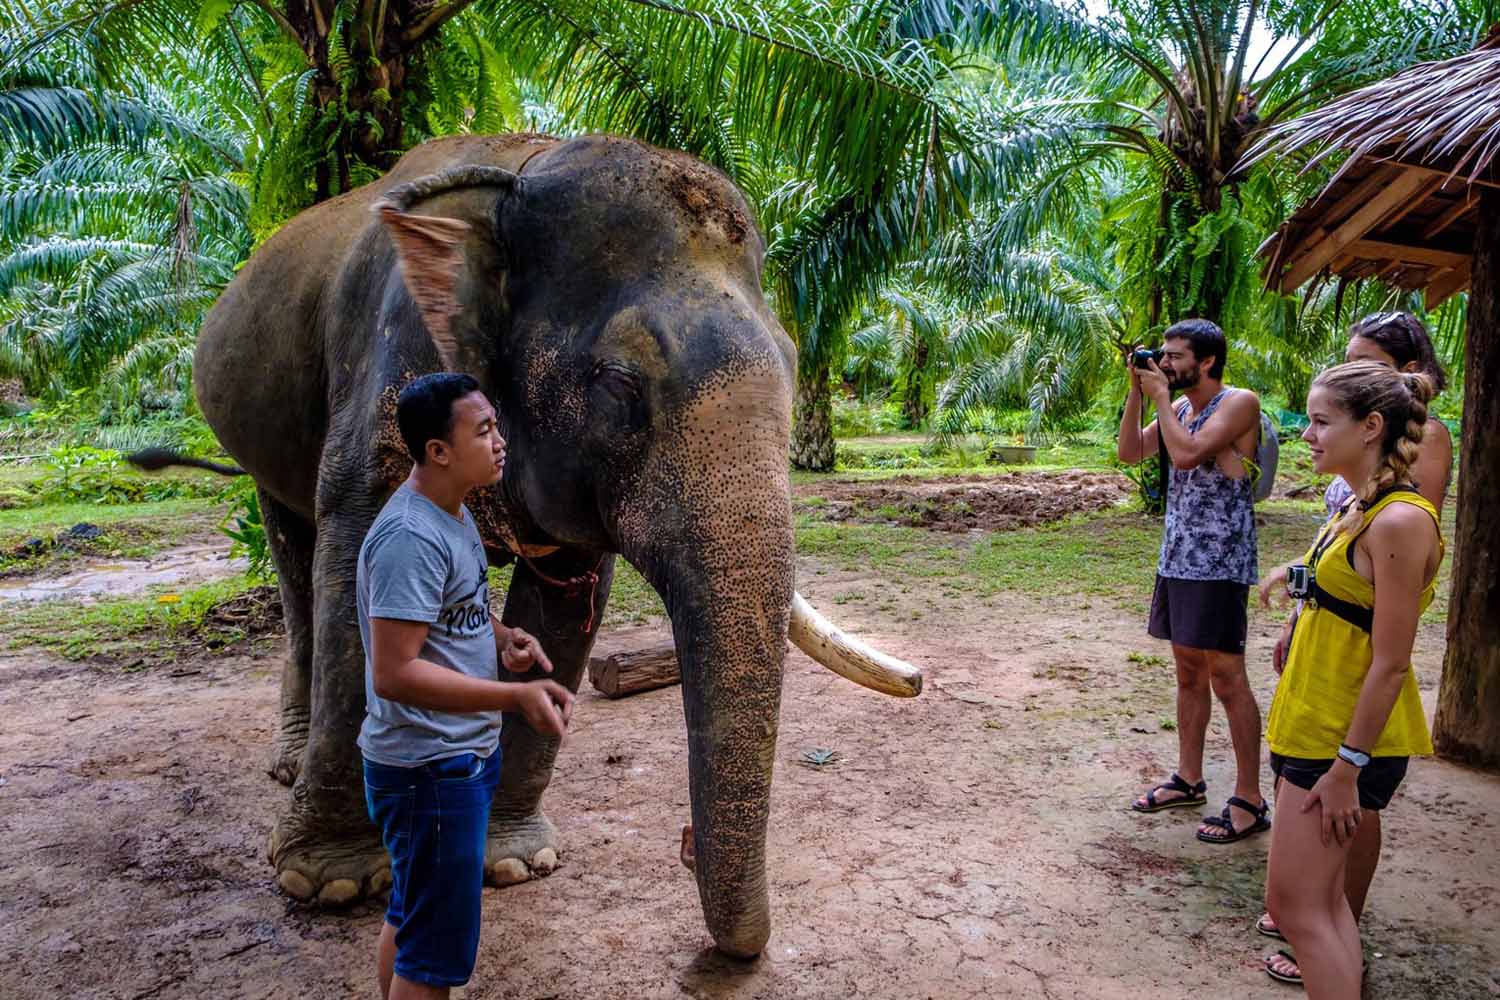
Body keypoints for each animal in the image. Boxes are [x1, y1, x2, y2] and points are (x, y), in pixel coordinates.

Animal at [155, 128, 924, 959]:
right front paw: (327, 882)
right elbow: (356, 572)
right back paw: (291, 764)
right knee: (296, 564)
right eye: (620, 386)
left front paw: (515, 862)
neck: (524, 173)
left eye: (792, 363)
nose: (685, 848)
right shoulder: (388, 378)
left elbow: (564, 608)